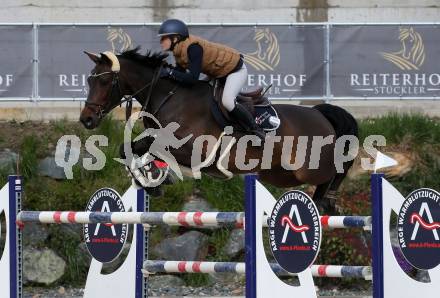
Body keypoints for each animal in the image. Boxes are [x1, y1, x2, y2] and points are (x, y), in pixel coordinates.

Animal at [80, 47, 358, 213]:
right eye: (89, 79)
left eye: (105, 81)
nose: (87, 119)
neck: (170, 97)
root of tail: (319, 113)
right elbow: (128, 149)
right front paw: (152, 181)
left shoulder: (195, 151)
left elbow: (151, 147)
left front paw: (155, 178)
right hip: (279, 174)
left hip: (307, 169)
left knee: (336, 171)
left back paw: (326, 201)